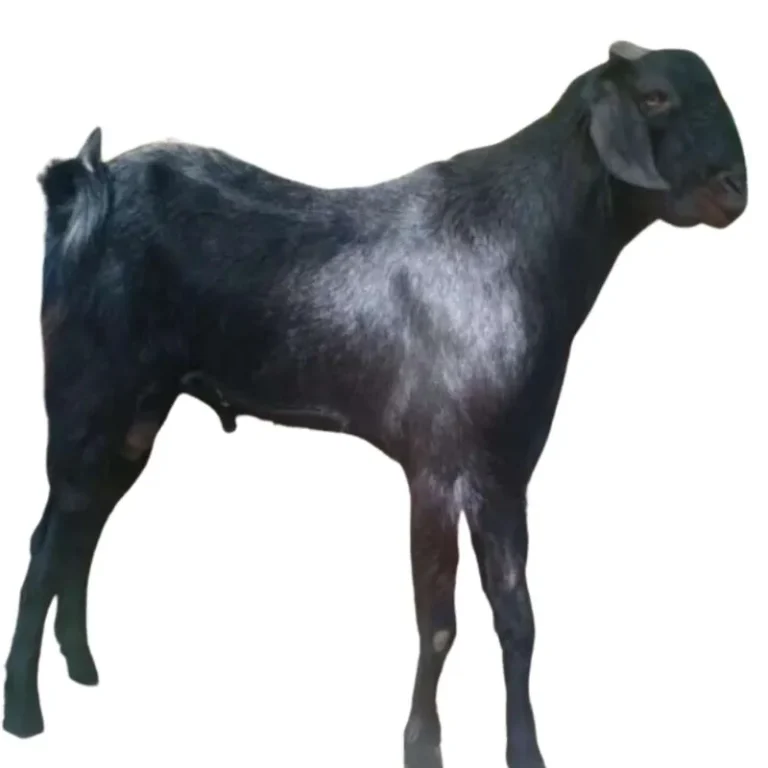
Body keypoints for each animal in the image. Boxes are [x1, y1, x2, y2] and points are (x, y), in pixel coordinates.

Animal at [3, 40, 747, 768]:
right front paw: (422, 748)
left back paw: (82, 668)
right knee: (48, 543)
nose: (734, 191)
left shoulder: (506, 475)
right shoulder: (435, 471)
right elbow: (439, 622)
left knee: (79, 531)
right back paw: (24, 715)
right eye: (656, 96)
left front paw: (526, 752)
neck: (517, 246)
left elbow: (518, 618)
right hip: (85, 404)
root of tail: (83, 186)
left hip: (135, 420)